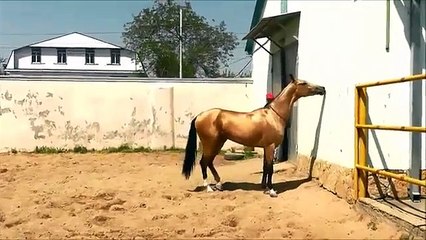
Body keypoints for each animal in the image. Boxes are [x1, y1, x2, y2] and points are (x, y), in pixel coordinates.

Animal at [181, 74, 324, 197]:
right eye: (303, 83)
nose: (322, 88)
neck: (273, 116)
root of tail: (200, 116)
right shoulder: (271, 146)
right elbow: (270, 168)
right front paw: (271, 190)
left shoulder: (266, 147)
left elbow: (265, 167)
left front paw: (264, 187)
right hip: (210, 143)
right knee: (203, 162)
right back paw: (209, 188)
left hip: (218, 143)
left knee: (209, 162)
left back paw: (219, 184)